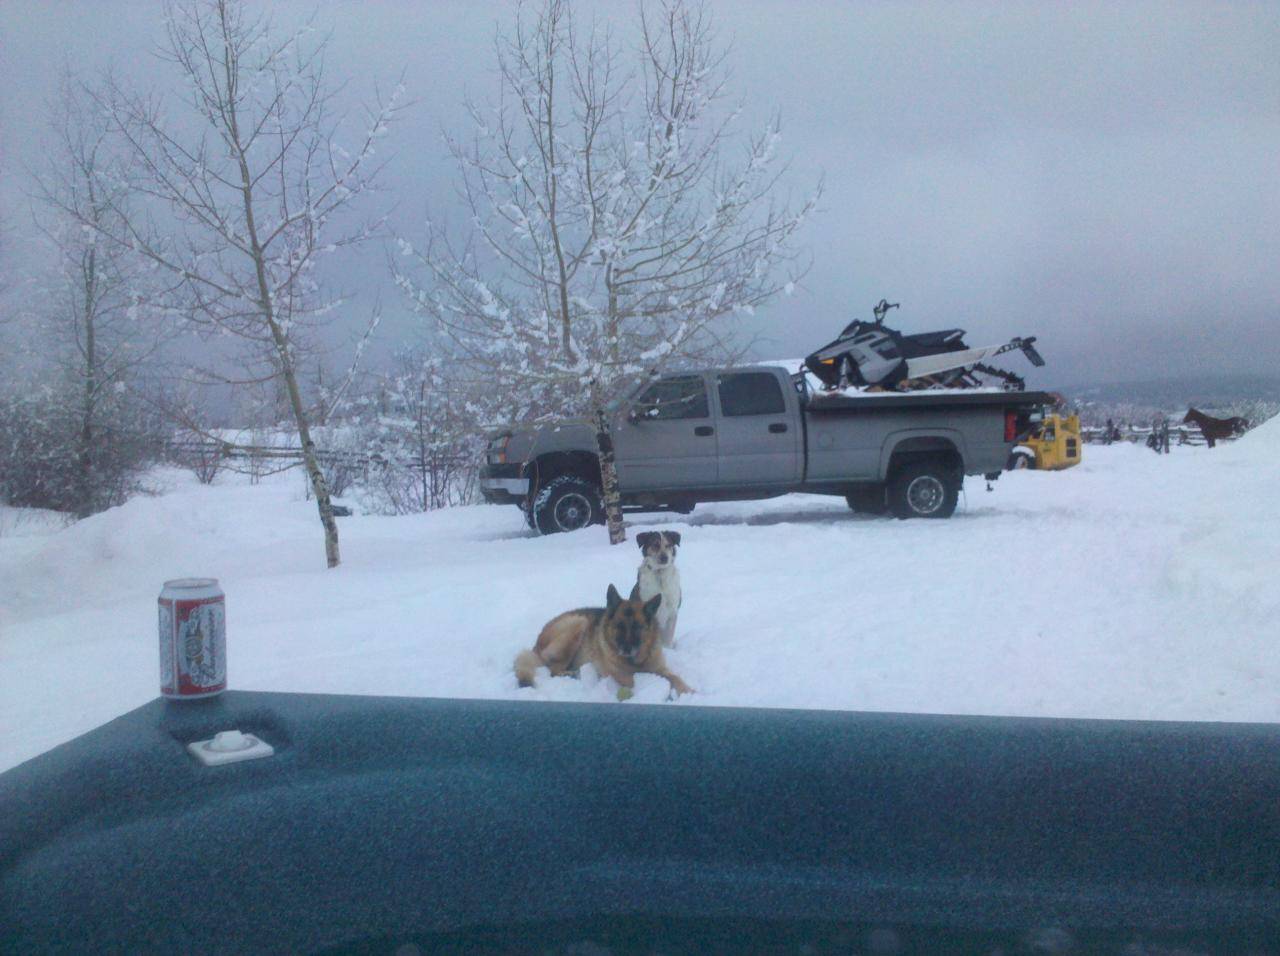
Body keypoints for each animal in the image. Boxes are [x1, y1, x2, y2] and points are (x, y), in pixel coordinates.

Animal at [509, 578, 696, 701]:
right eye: (619, 626)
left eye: (637, 627)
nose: (626, 649)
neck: (637, 661)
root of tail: (536, 644)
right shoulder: (619, 674)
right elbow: (634, 681)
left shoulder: (660, 668)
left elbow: (674, 677)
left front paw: (688, 691)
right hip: (578, 622)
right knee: (553, 670)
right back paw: (572, 674)